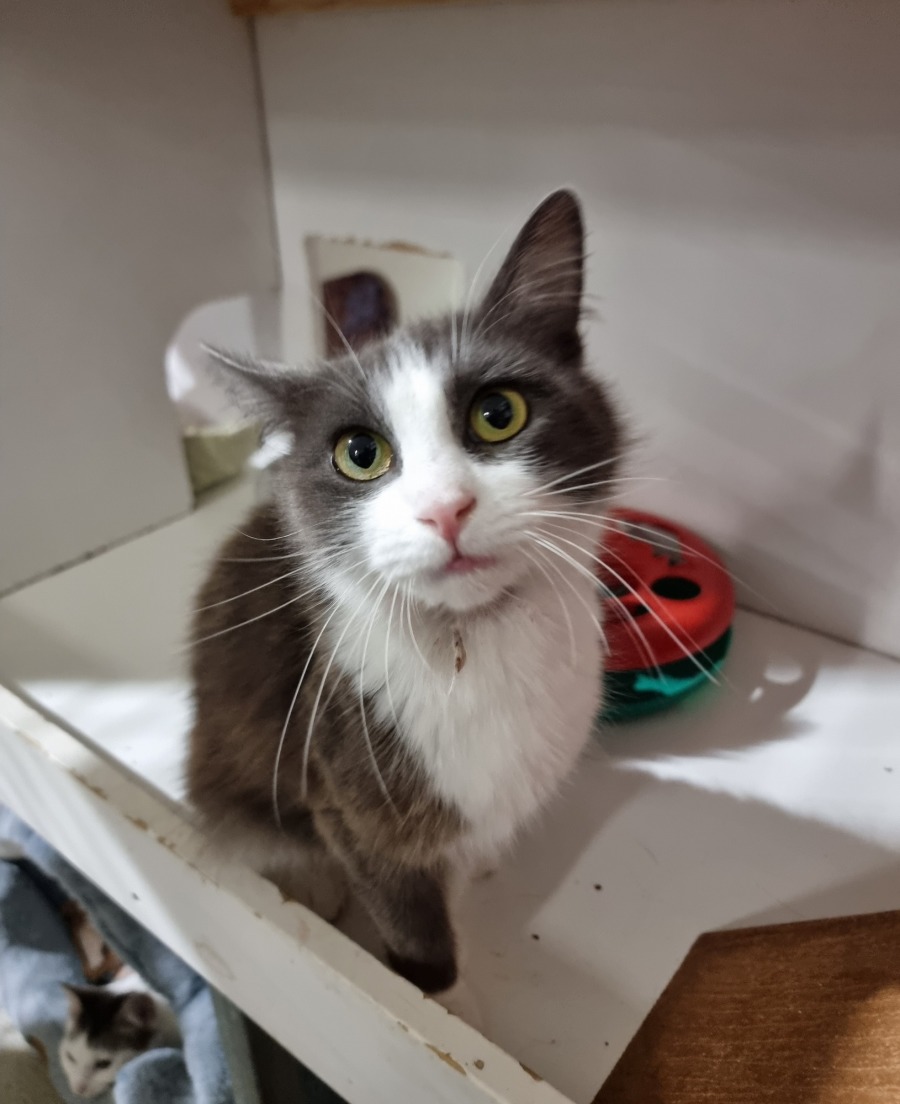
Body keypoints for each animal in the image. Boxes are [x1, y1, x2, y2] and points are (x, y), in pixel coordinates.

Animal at [187, 189, 624, 1008]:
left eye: (499, 413)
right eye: (360, 454)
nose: (445, 509)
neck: (474, 641)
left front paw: (475, 870)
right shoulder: (345, 785)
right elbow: (412, 928)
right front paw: (440, 996)